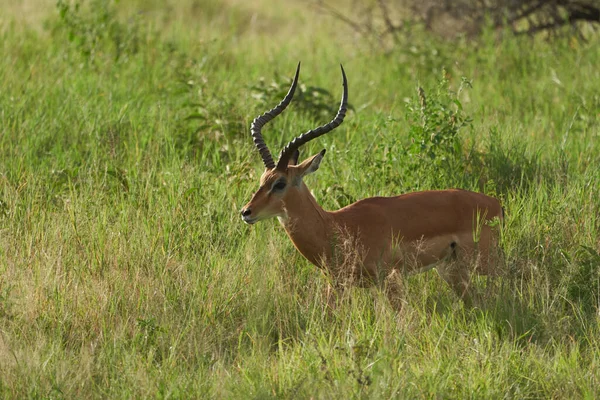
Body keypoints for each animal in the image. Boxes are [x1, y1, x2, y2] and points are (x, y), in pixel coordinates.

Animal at [241, 63, 504, 306]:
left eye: (280, 183)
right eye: (262, 179)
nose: (246, 212)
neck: (335, 226)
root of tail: (495, 204)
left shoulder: (389, 280)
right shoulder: (337, 284)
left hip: (485, 264)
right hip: (452, 270)